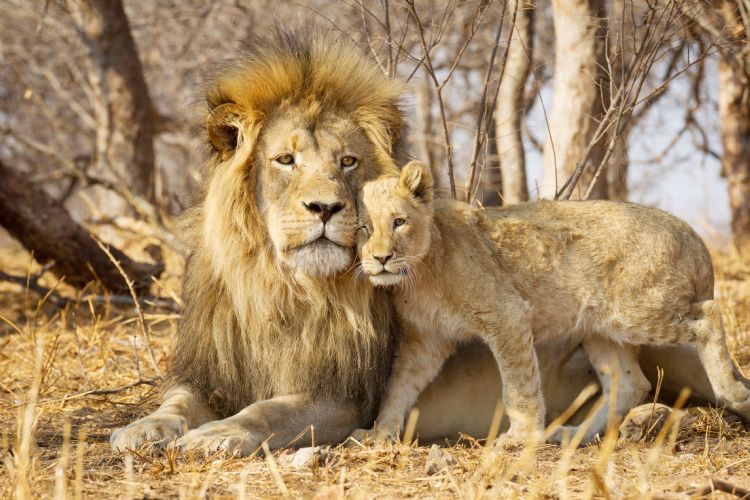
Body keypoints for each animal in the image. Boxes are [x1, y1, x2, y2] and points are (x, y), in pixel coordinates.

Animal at [111, 28, 748, 458]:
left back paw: (700, 404)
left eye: (347, 161)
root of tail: (693, 236)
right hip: (602, 330)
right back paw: (571, 432)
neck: (285, 290)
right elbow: (174, 403)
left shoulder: (342, 393)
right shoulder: (213, 372)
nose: (325, 209)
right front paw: (142, 430)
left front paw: (216, 435)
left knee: (703, 335)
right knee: (626, 382)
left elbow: (271, 410)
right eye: (284, 160)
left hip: (650, 319)